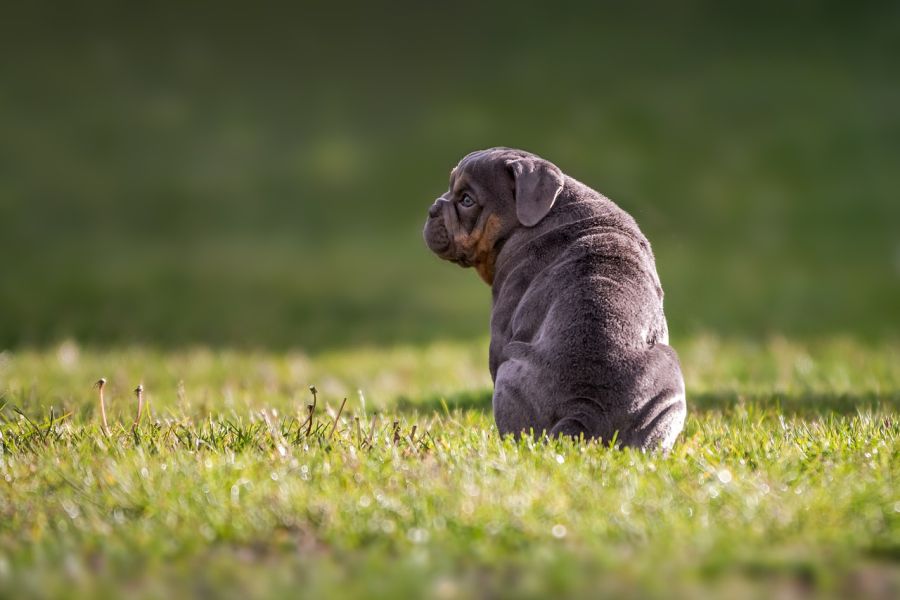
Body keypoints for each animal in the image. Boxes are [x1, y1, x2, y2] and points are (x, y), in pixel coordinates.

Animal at [426, 148, 684, 448]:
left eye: (466, 200)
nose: (433, 209)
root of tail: (585, 407)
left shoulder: (500, 334)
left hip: (508, 372)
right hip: (668, 389)